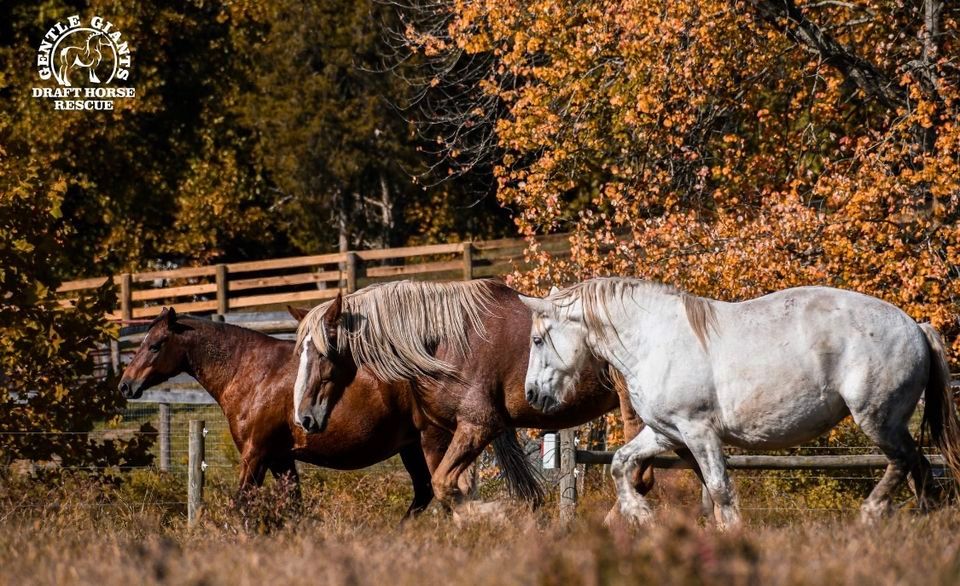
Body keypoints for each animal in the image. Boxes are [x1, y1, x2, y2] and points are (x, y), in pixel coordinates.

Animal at [118, 307, 541, 518]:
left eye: (154, 345)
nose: (125, 384)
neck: (252, 373)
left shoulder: (255, 454)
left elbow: (242, 504)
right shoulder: (282, 459)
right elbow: (293, 509)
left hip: (433, 443)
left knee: (448, 491)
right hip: (412, 448)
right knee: (426, 493)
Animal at [293, 279, 655, 518]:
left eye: (324, 352)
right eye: (302, 351)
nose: (305, 417)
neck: (444, 343)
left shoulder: (478, 427)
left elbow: (444, 485)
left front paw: (494, 515)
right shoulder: (450, 432)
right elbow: (456, 489)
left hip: (635, 413)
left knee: (638, 477)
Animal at [519, 278, 960, 527]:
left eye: (538, 340)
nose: (532, 394)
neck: (654, 340)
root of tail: (916, 326)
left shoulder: (699, 432)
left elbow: (719, 490)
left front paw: (731, 534)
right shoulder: (666, 434)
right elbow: (620, 464)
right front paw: (641, 515)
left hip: (878, 419)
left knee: (905, 463)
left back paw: (872, 515)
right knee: (920, 470)